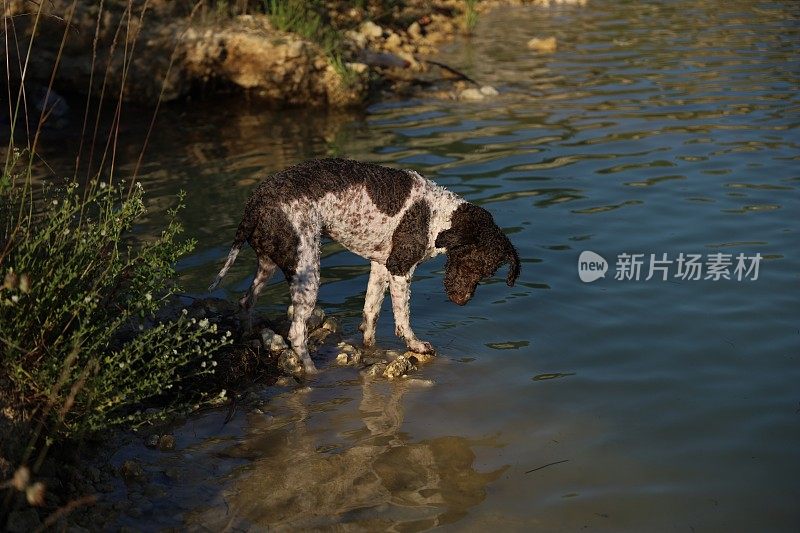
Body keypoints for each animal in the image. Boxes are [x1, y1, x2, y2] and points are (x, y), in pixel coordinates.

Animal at [208, 158, 520, 374]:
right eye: (470, 262)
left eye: (487, 271)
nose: (461, 301)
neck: (437, 215)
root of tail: (254, 202)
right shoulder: (399, 269)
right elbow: (402, 319)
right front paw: (416, 345)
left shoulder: (380, 267)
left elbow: (370, 315)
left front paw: (371, 350)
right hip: (307, 271)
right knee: (296, 334)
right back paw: (312, 373)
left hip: (269, 263)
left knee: (246, 301)